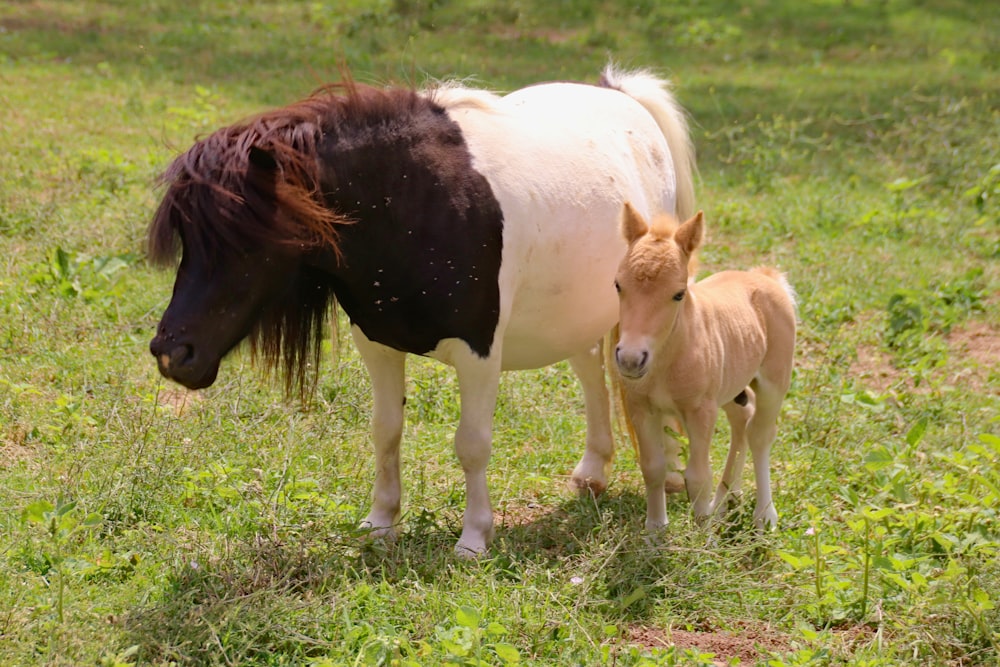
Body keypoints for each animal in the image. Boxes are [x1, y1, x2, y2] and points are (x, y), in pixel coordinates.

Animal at [148, 69, 696, 560]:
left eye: (243, 241)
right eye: (188, 239)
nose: (171, 352)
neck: (412, 205)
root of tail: (619, 93)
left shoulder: (479, 353)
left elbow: (471, 444)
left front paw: (474, 538)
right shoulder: (376, 344)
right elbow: (385, 430)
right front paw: (380, 521)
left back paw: (666, 468)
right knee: (588, 367)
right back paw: (594, 470)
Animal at [612, 204, 792, 532]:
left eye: (678, 293)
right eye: (618, 285)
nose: (631, 359)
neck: (667, 360)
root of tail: (767, 278)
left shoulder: (700, 411)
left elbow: (697, 477)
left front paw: (702, 536)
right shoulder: (640, 406)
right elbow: (653, 468)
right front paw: (655, 531)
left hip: (774, 382)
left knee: (760, 434)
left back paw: (763, 515)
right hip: (732, 386)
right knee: (742, 420)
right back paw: (724, 501)